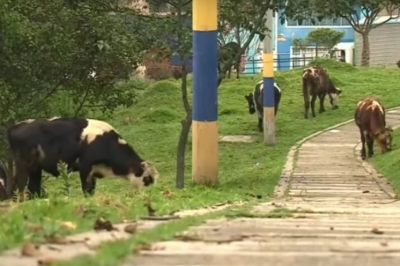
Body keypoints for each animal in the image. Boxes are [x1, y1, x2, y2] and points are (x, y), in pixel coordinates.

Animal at [7, 117, 158, 198]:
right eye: (147, 179)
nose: (152, 194)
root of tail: (15, 126)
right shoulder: (85, 168)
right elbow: (87, 189)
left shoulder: (94, 172)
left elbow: (91, 190)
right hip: (23, 164)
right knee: (20, 185)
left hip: (36, 168)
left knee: (33, 187)